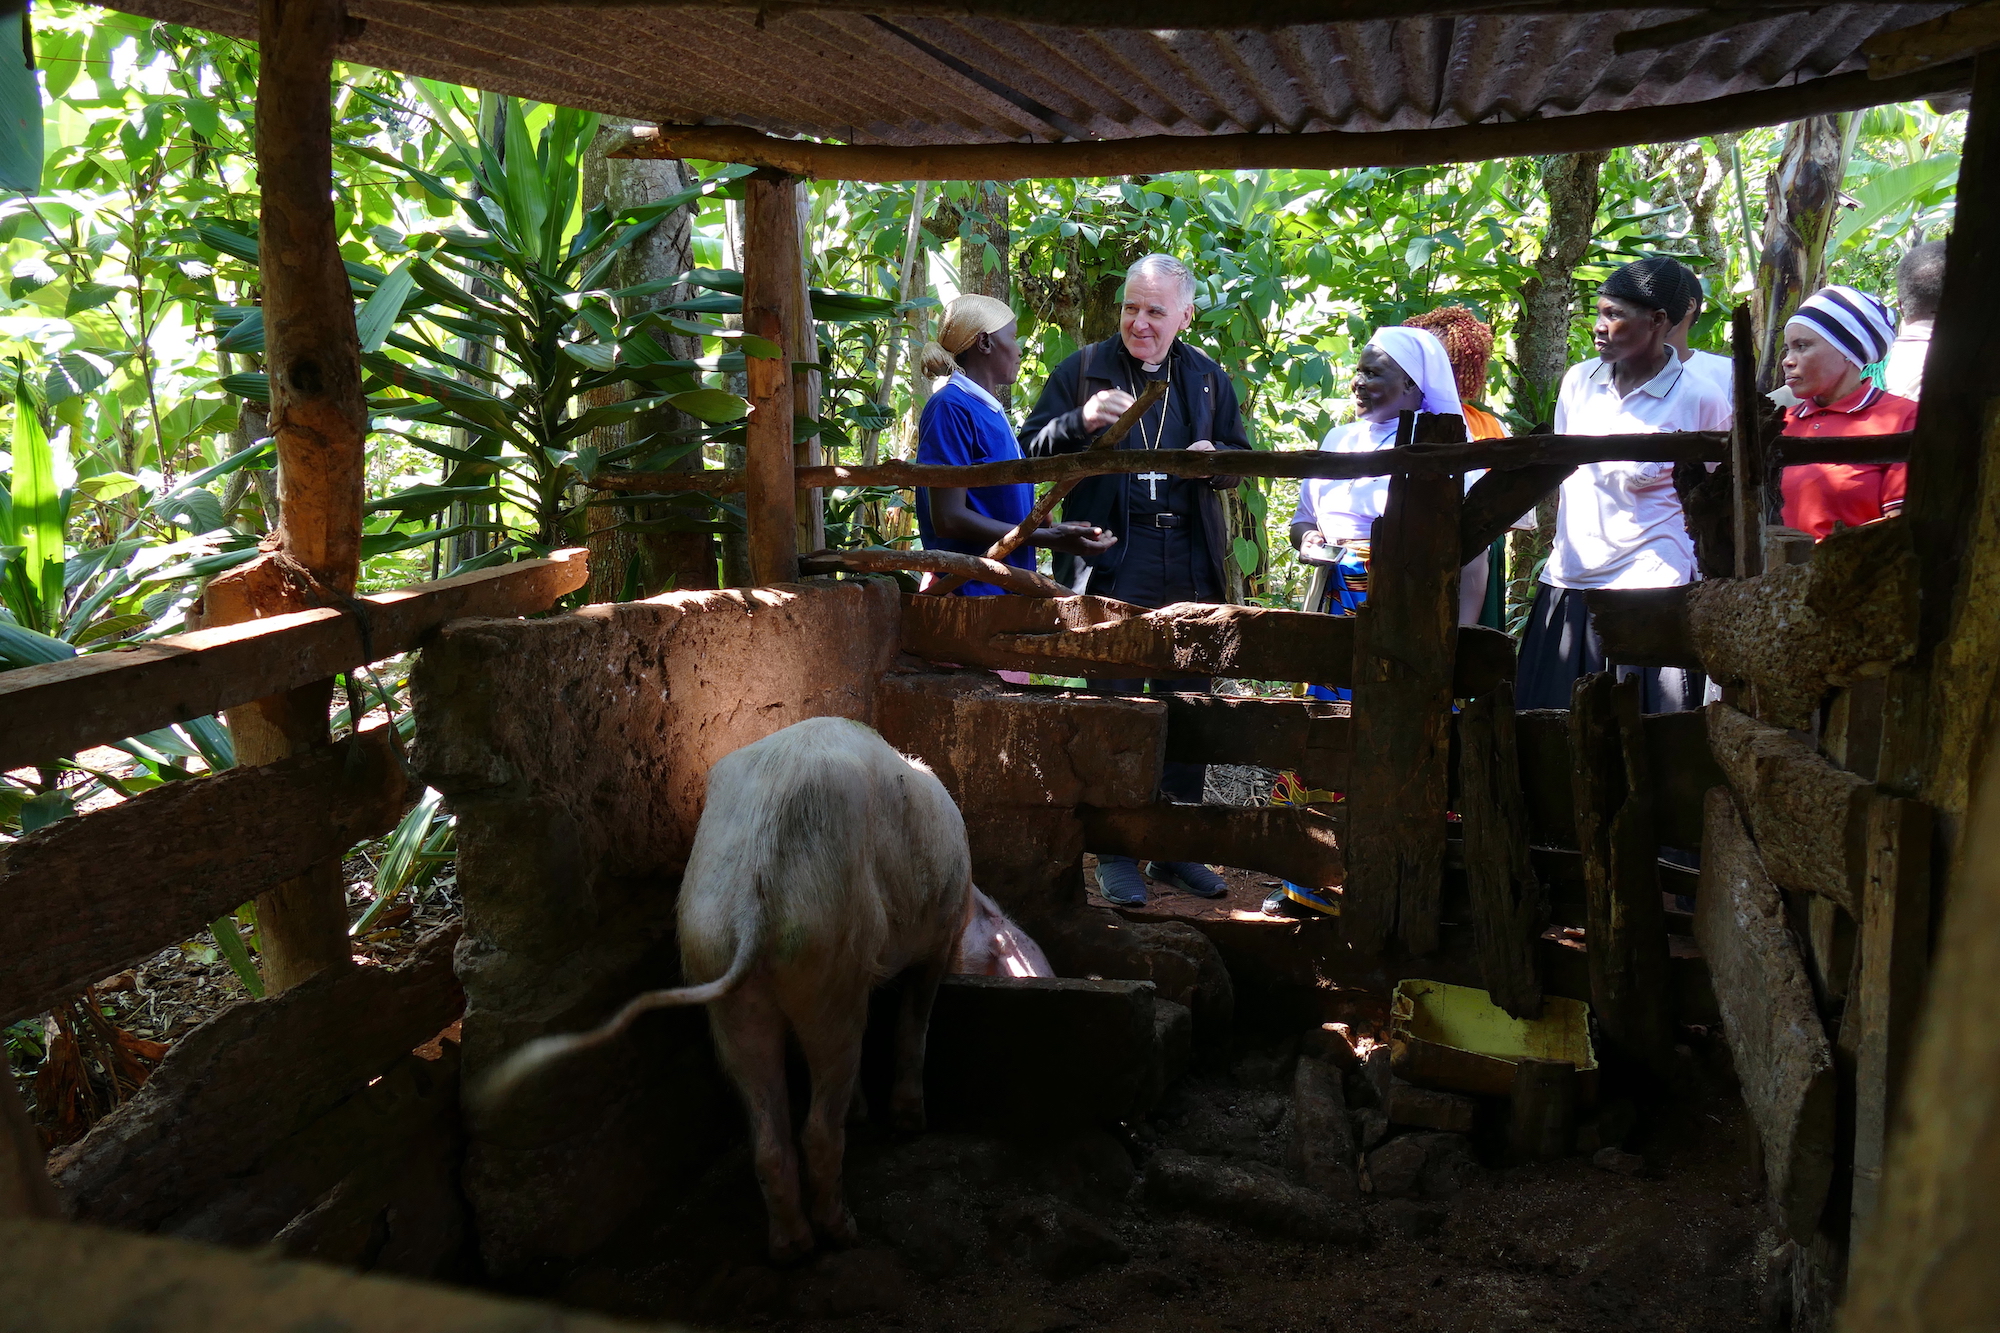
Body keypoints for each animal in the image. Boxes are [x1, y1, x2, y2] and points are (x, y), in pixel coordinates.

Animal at [488, 712, 980, 1264]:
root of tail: (756, 896)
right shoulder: (941, 933)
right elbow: (914, 1024)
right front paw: (909, 1125)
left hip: (715, 963)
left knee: (766, 1130)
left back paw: (790, 1249)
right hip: (826, 960)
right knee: (820, 1117)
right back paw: (842, 1233)